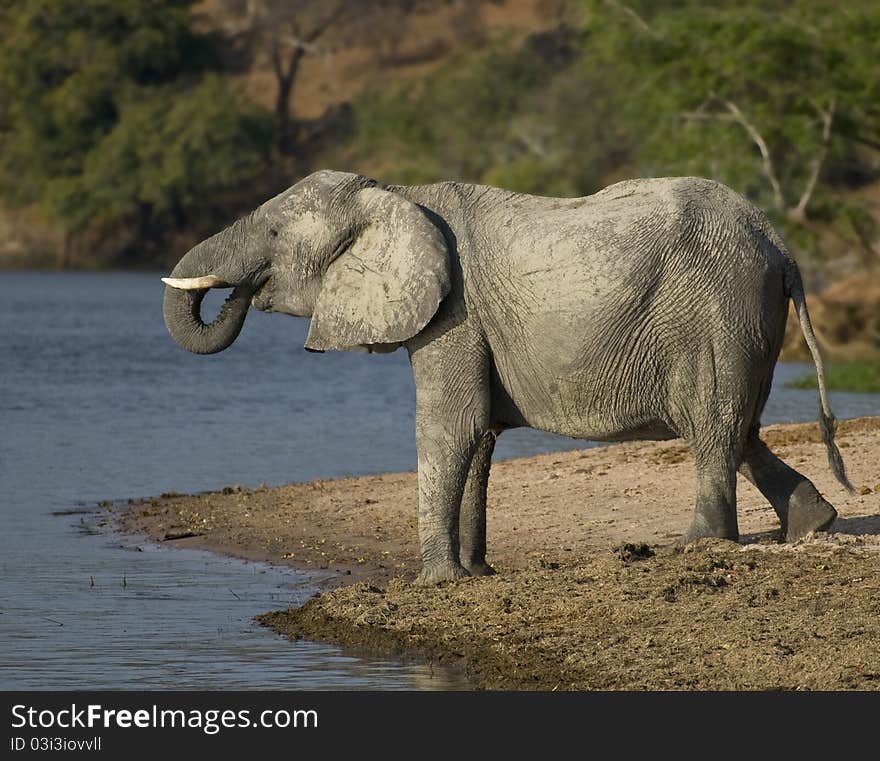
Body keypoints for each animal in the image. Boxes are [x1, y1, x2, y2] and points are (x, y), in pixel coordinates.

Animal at [163, 171, 852, 580]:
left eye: (275, 232)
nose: (239, 292)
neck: (398, 194)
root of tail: (779, 242)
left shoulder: (456, 311)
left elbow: (450, 427)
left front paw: (434, 583)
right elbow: (481, 434)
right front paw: (474, 577)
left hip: (716, 308)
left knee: (713, 424)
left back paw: (697, 546)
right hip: (742, 317)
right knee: (741, 426)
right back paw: (814, 525)